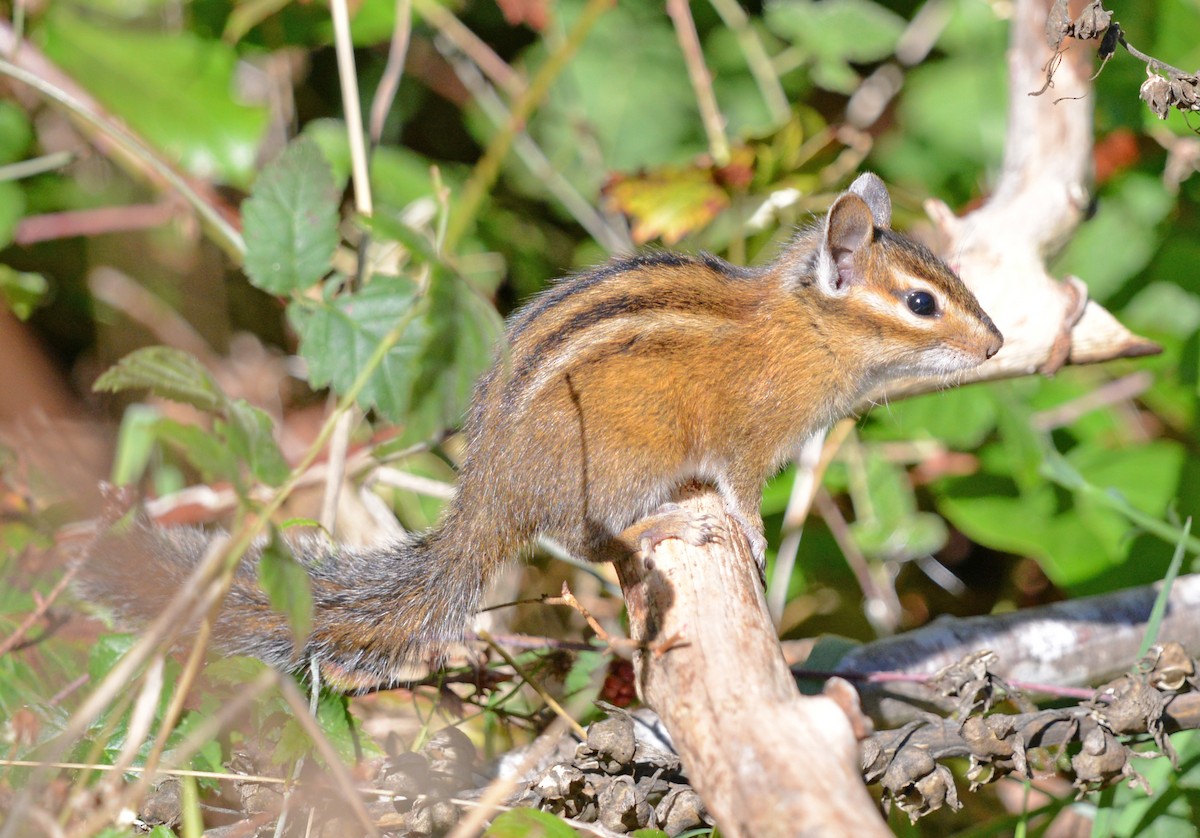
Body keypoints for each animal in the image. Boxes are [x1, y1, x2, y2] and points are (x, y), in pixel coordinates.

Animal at [78, 173, 1003, 690]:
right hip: (617, 463)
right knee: (583, 537)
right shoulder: (746, 440)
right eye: (922, 302)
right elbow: (740, 492)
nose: (996, 344)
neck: (801, 329)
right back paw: (660, 523)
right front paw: (751, 532)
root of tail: (485, 492)